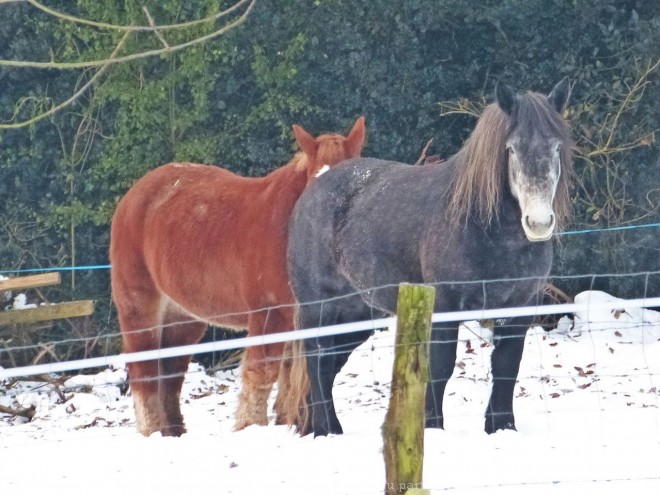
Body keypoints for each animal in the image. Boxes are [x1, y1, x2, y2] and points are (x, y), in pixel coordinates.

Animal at [110, 117, 364, 438]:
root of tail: (134, 195)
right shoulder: (270, 313)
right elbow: (263, 371)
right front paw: (251, 425)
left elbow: (299, 376)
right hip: (139, 307)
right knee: (143, 372)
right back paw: (152, 431)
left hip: (182, 317)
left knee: (170, 374)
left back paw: (174, 433)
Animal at [288, 78, 572, 438]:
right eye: (511, 149)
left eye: (556, 148)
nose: (538, 223)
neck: (484, 226)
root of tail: (313, 190)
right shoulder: (445, 307)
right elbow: (440, 368)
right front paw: (432, 427)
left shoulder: (519, 308)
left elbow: (507, 367)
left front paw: (502, 428)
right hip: (319, 308)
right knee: (317, 360)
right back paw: (328, 431)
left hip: (358, 315)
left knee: (328, 367)